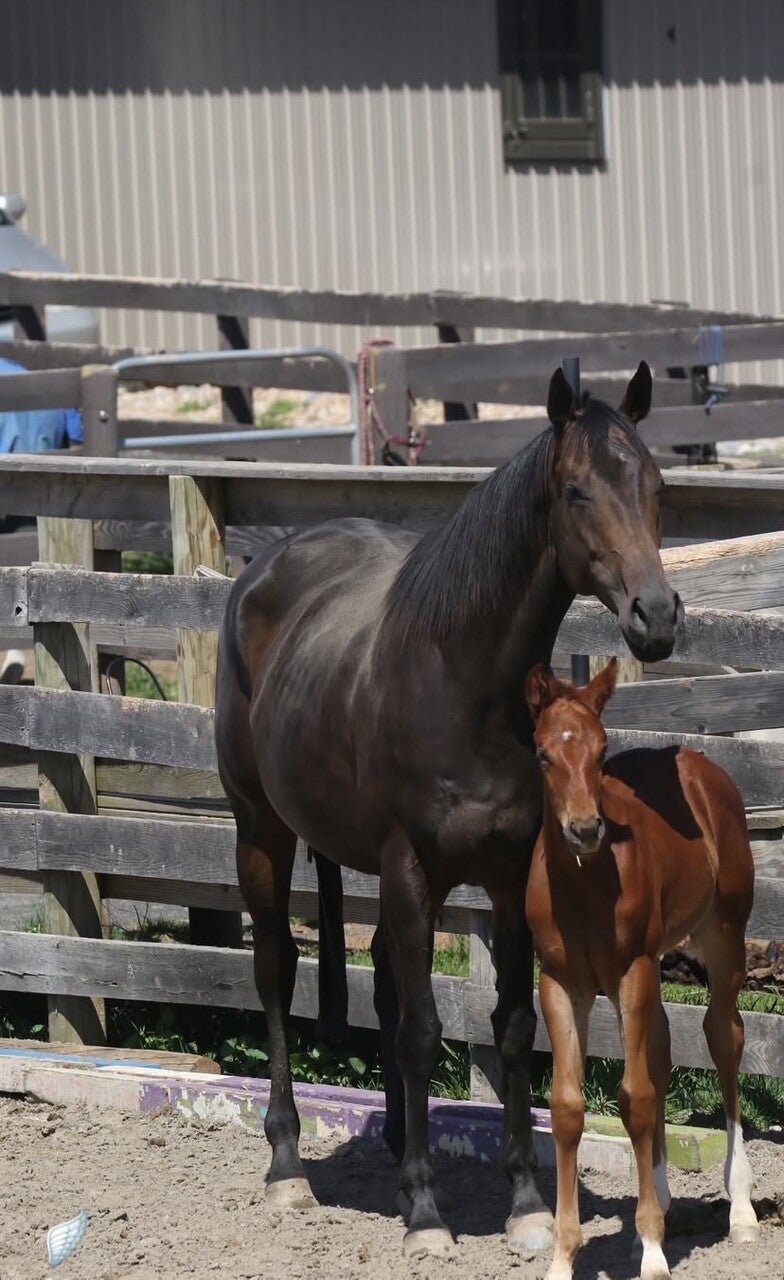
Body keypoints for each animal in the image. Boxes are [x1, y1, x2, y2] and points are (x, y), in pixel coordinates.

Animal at [214, 360, 683, 1259]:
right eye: (577, 490)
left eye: (655, 484)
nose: (658, 615)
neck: (463, 685)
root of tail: (266, 569)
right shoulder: (409, 869)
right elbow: (428, 1032)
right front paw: (427, 1212)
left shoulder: (509, 875)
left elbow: (510, 1027)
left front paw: (526, 1201)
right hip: (261, 831)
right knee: (277, 973)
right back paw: (288, 1165)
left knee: (386, 987)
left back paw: (400, 1144)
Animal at [524, 658, 759, 1280]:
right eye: (542, 755)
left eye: (602, 750)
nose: (586, 830)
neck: (584, 885)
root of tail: (699, 763)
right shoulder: (560, 983)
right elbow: (567, 1106)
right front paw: (563, 1257)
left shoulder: (630, 970)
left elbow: (638, 1098)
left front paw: (653, 1251)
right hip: (654, 965)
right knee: (661, 1046)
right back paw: (661, 1203)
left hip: (722, 935)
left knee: (723, 1038)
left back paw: (742, 1209)